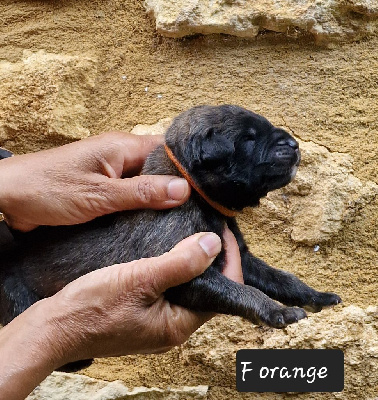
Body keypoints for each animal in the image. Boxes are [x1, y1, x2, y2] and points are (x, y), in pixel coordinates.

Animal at [0, 104, 342, 330]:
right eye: (248, 138)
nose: (295, 146)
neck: (197, 195)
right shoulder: (188, 272)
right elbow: (244, 290)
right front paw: (278, 312)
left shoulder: (244, 259)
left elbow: (282, 278)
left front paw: (316, 295)